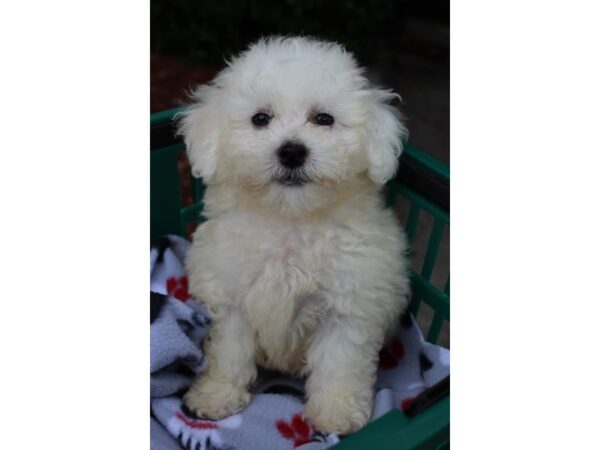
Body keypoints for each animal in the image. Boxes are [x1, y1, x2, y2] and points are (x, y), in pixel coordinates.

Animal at [179, 37, 412, 434]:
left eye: (324, 119)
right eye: (260, 118)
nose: (291, 152)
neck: (290, 218)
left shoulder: (349, 306)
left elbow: (339, 362)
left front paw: (336, 412)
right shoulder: (232, 298)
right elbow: (229, 352)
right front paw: (216, 396)